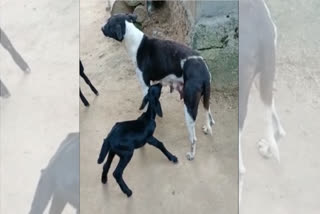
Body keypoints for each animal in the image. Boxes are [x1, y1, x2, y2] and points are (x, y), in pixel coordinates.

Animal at [101, 13, 214, 160]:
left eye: (109, 23)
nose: (101, 28)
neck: (135, 42)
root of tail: (203, 71)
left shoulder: (145, 85)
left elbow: (147, 104)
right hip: (203, 98)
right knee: (208, 112)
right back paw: (208, 126)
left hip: (189, 107)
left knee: (194, 138)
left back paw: (192, 154)